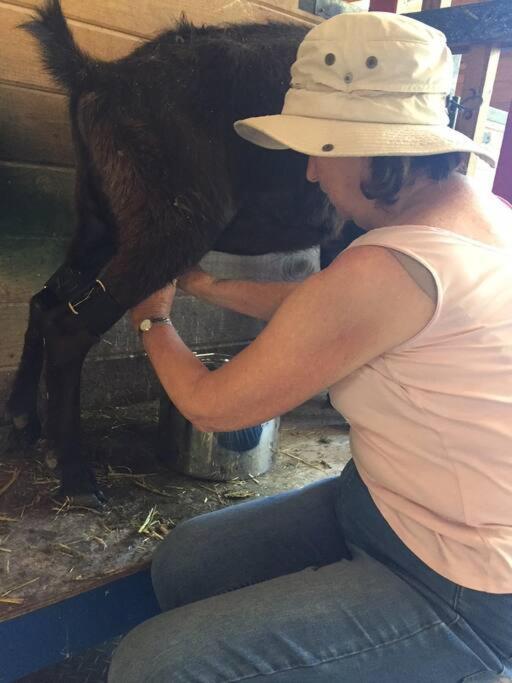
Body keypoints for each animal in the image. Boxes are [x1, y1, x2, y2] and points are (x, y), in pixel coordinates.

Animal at [8, 0, 352, 502]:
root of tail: (97, 74)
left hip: (101, 221)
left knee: (43, 301)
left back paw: (21, 420)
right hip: (174, 222)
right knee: (69, 327)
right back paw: (75, 475)